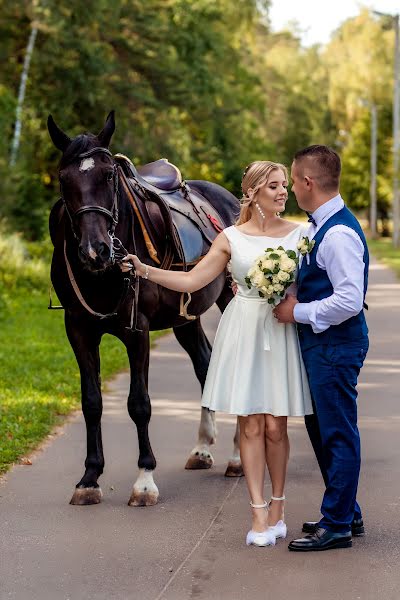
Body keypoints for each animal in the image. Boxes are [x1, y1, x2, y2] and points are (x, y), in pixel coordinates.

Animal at [46, 112, 241, 506]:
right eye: (63, 178)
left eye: (108, 175)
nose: (95, 250)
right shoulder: (78, 329)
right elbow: (91, 401)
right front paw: (89, 478)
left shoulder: (137, 329)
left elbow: (139, 403)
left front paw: (145, 479)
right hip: (186, 317)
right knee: (205, 364)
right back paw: (202, 448)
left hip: (231, 299)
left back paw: (237, 458)